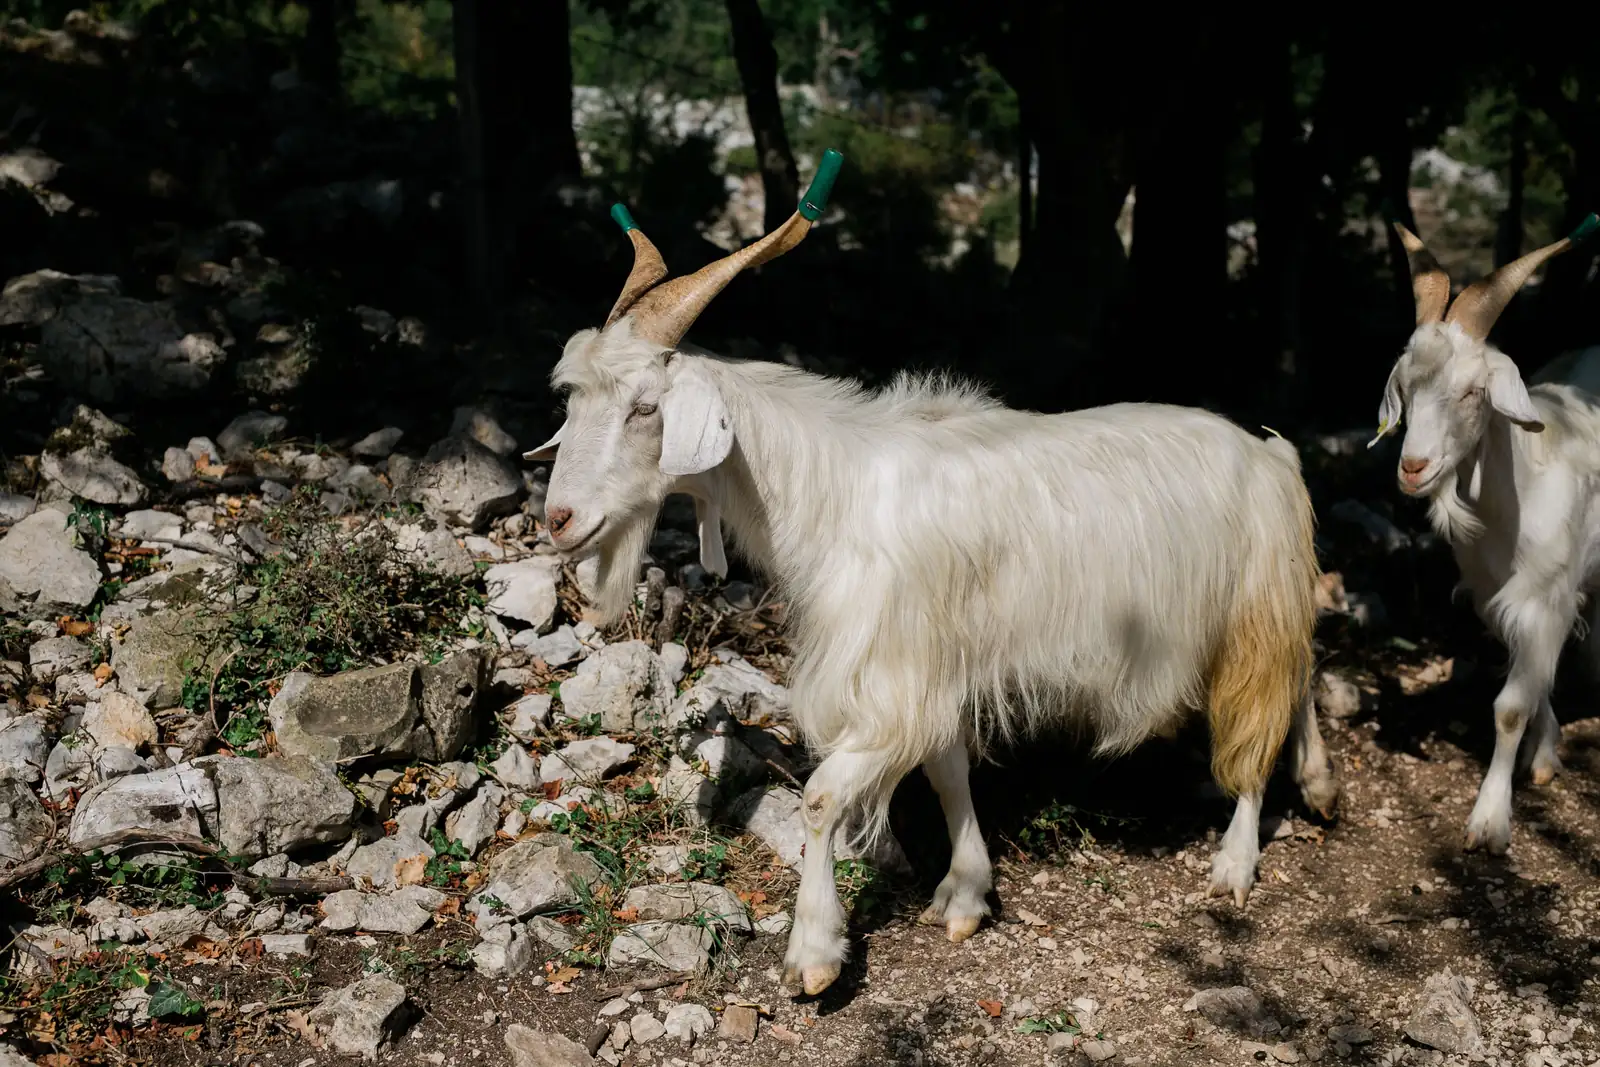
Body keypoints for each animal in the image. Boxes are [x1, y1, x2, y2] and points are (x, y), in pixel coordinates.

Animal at [526, 152, 1339, 997]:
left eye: (646, 407)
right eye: (572, 397)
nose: (559, 519)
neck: (832, 488)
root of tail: (1271, 452)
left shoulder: (892, 680)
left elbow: (820, 797)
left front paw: (815, 950)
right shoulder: (932, 664)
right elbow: (948, 771)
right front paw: (965, 892)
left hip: (1250, 607)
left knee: (1264, 707)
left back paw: (1236, 859)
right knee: (1303, 672)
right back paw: (1319, 785)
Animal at [1372, 213, 1599, 854]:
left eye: (1474, 391)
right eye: (1406, 388)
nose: (1413, 467)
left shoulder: (1545, 595)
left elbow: (1510, 708)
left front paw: (1490, 821)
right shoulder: (1500, 597)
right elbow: (1533, 682)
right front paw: (1543, 756)